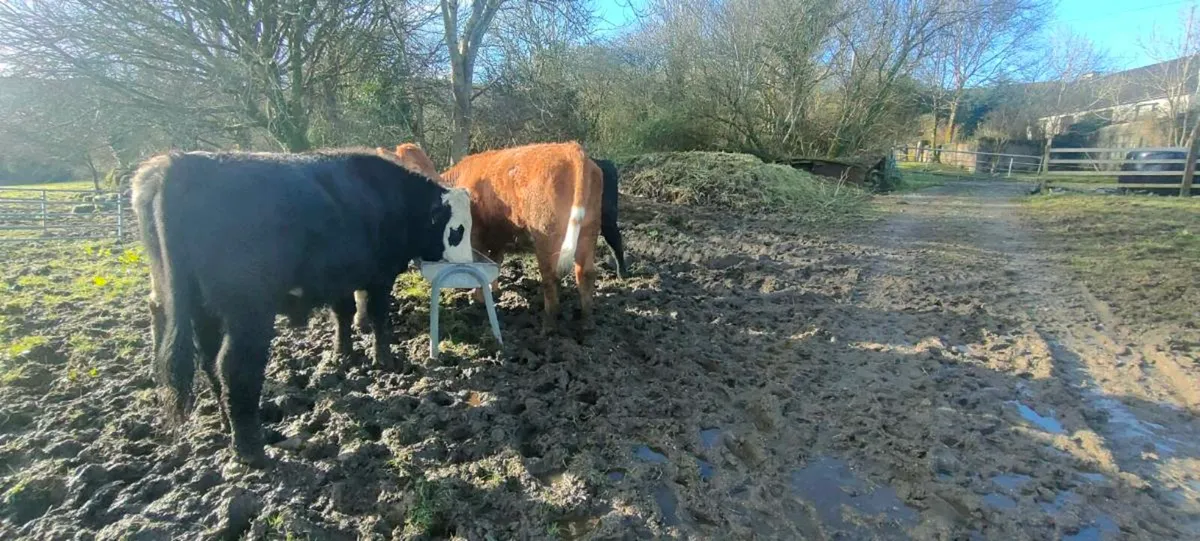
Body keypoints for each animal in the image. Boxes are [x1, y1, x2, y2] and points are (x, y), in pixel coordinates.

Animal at [131, 147, 468, 467]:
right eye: (456, 229)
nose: (464, 265)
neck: (392, 196)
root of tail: (180, 164)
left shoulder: (341, 278)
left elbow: (343, 314)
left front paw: (342, 354)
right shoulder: (379, 278)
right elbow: (378, 318)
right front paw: (385, 361)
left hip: (202, 313)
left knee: (210, 363)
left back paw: (228, 425)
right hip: (248, 314)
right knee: (234, 368)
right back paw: (251, 450)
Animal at [440, 141, 603, 334]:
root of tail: (571, 148)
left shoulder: (474, 235)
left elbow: (478, 265)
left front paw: (477, 298)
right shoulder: (498, 240)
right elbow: (494, 263)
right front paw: (494, 291)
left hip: (547, 234)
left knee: (550, 276)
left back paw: (548, 326)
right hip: (589, 229)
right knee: (585, 274)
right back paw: (588, 323)